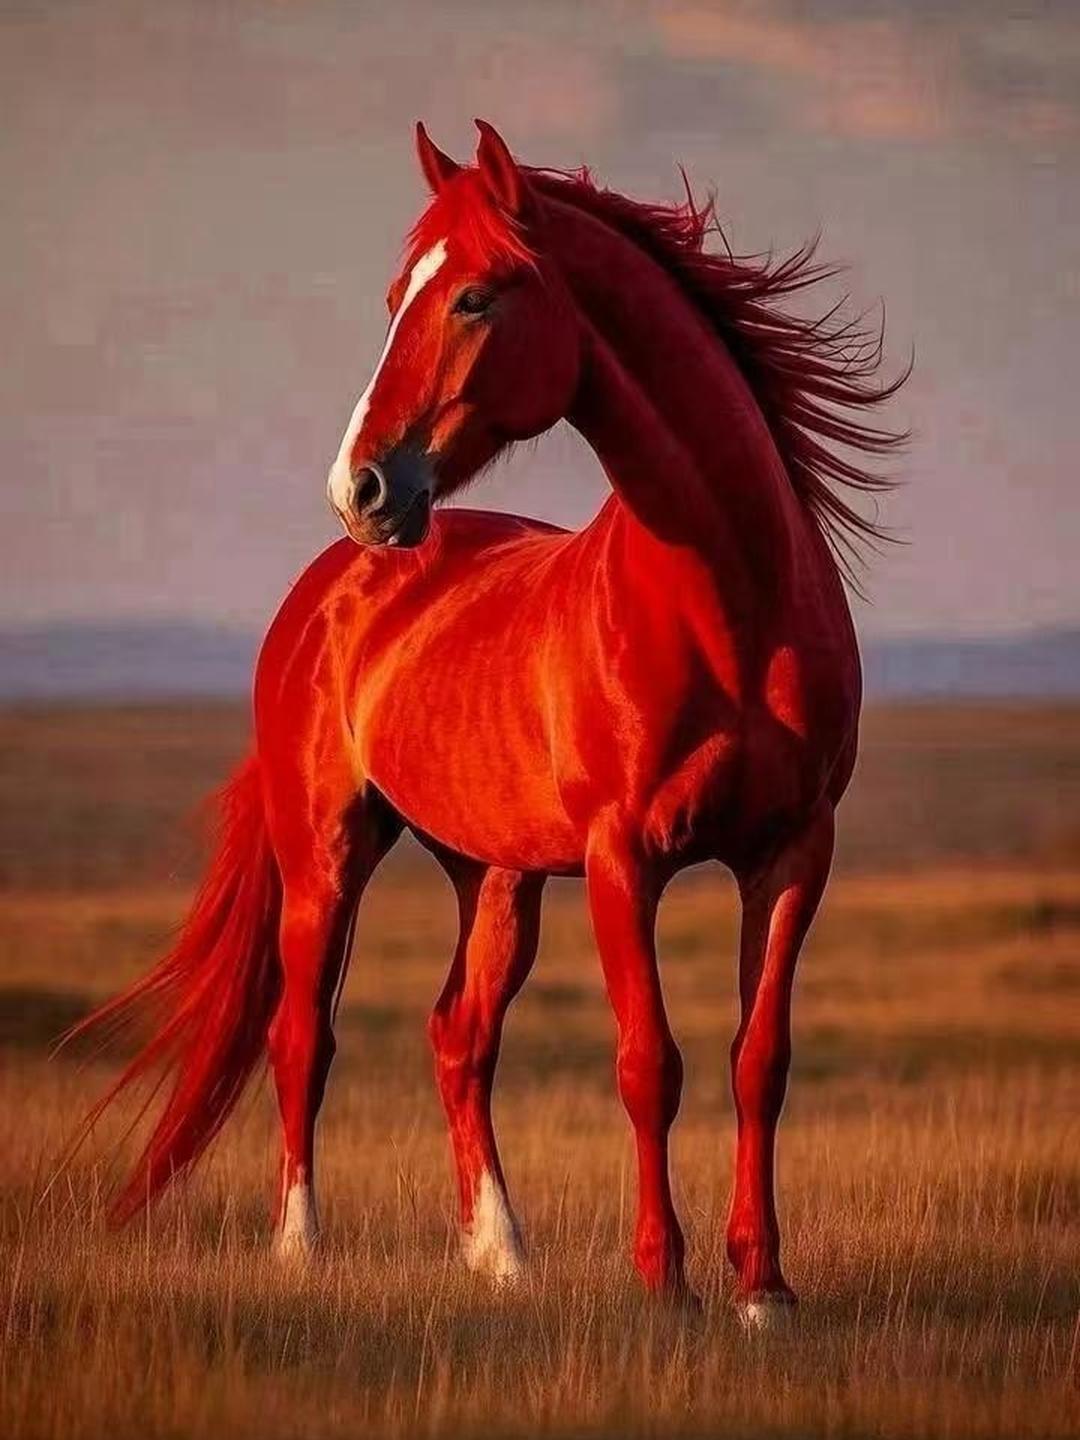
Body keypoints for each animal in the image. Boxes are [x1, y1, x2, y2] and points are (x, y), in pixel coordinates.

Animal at [74, 119, 904, 1327]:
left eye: (473, 296)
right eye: (395, 298)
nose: (363, 489)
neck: (729, 608)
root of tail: (326, 590)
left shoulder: (793, 853)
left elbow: (761, 1060)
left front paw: (764, 1290)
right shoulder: (622, 859)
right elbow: (648, 1064)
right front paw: (664, 1283)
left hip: (495, 877)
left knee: (458, 1037)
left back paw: (501, 1253)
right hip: (329, 857)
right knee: (302, 1034)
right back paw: (300, 1247)